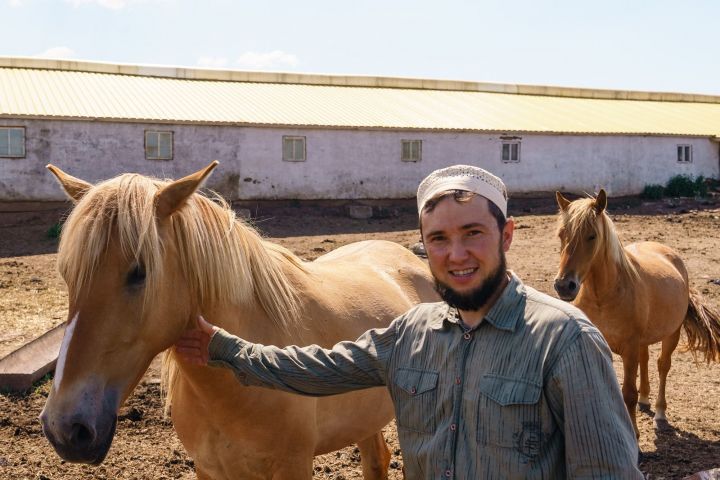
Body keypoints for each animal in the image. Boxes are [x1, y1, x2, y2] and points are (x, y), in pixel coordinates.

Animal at [556, 189, 720, 436]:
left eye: (592, 236)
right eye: (561, 234)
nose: (564, 286)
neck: (603, 297)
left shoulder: (630, 348)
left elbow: (628, 393)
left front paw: (633, 433)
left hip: (671, 334)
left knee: (662, 366)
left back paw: (660, 414)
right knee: (646, 359)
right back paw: (645, 398)